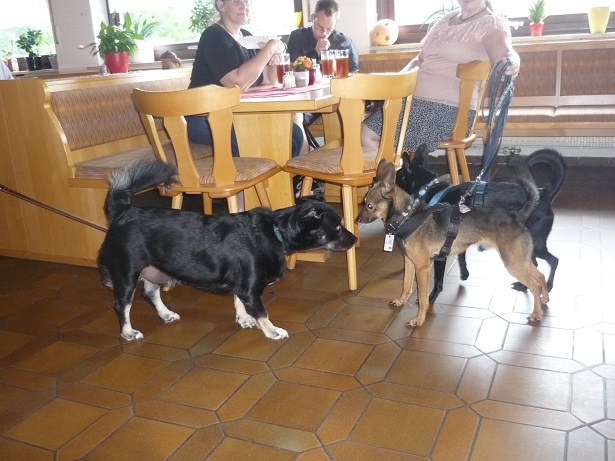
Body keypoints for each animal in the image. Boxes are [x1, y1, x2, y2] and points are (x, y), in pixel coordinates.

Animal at [98, 160, 357, 341]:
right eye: (337, 226)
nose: (355, 239)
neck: (275, 231)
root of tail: (123, 212)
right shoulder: (251, 289)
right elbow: (262, 312)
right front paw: (272, 331)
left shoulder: (242, 285)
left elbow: (238, 301)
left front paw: (243, 319)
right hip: (127, 273)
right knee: (122, 305)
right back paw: (128, 333)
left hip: (154, 269)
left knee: (150, 293)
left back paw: (166, 314)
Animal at [358, 159, 550, 327]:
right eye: (363, 203)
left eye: (369, 206)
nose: (356, 220)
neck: (407, 217)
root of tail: (517, 215)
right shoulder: (410, 263)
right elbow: (406, 285)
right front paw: (401, 301)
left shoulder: (423, 267)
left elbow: (424, 298)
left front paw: (419, 320)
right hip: (520, 260)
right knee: (540, 276)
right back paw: (545, 300)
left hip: (514, 264)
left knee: (534, 285)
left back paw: (536, 313)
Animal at [396, 145, 566, 303]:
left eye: (396, 176)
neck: (429, 190)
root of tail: (544, 193)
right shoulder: (459, 238)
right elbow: (462, 257)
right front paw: (465, 274)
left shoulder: (441, 253)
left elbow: (438, 279)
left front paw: (430, 299)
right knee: (534, 265)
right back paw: (523, 286)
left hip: (535, 244)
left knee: (553, 261)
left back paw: (548, 286)